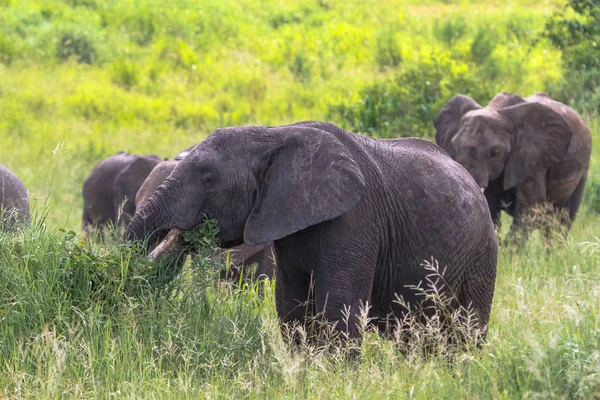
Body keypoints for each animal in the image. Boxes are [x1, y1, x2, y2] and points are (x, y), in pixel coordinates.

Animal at [434, 91, 592, 238]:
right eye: (455, 145)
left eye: (494, 153)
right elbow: (491, 206)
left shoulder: (532, 158)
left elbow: (530, 206)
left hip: (583, 170)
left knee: (560, 222)